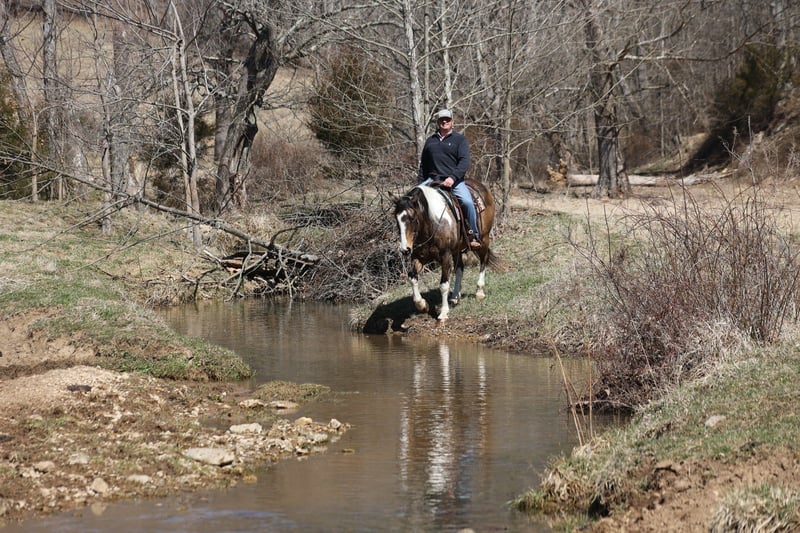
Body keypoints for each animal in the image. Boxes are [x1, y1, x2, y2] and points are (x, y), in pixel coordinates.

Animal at [393, 178, 497, 321]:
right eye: (396, 219)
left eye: (412, 217)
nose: (405, 249)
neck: (432, 223)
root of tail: (480, 185)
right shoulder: (418, 257)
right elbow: (412, 278)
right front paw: (422, 305)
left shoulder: (445, 256)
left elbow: (443, 285)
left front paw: (443, 313)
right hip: (457, 249)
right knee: (460, 268)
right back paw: (455, 296)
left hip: (484, 239)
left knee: (483, 260)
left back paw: (479, 292)